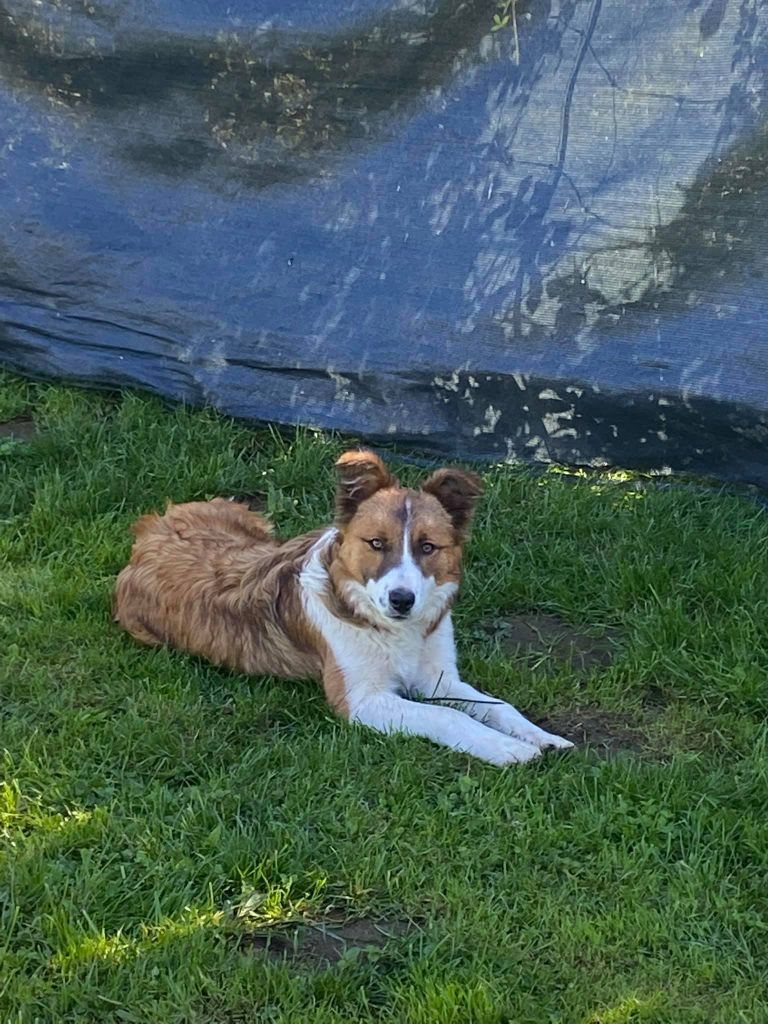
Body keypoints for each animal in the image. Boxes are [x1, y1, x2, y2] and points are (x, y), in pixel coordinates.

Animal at [113, 450, 573, 765]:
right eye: (377, 543)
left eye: (427, 547)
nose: (401, 600)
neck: (390, 629)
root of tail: (148, 529)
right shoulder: (361, 701)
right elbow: (448, 717)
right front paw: (508, 749)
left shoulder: (439, 678)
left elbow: (496, 706)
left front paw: (540, 736)